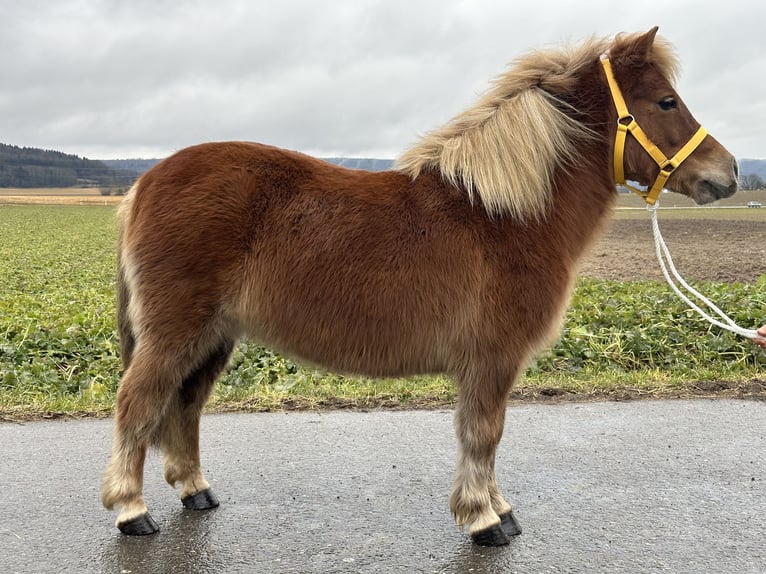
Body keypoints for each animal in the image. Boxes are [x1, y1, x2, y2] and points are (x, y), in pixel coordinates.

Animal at [100, 28, 736, 548]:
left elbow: (485, 436)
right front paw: (484, 519)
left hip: (213, 338)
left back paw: (194, 491)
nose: (728, 173)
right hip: (176, 333)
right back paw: (131, 511)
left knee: (184, 406)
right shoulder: (492, 359)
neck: (500, 215)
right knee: (138, 403)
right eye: (667, 102)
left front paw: (500, 510)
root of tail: (145, 183)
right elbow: (483, 434)